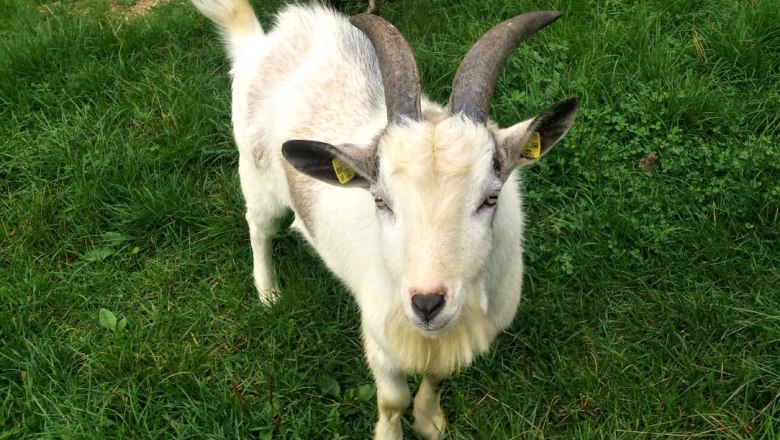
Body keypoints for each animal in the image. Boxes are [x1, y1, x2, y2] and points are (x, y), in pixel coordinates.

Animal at [191, 1, 576, 438]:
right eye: (380, 200)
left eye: (490, 197)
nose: (427, 303)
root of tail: (258, 44)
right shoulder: (382, 332)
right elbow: (392, 400)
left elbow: (435, 377)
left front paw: (430, 422)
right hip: (258, 181)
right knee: (258, 228)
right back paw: (268, 292)